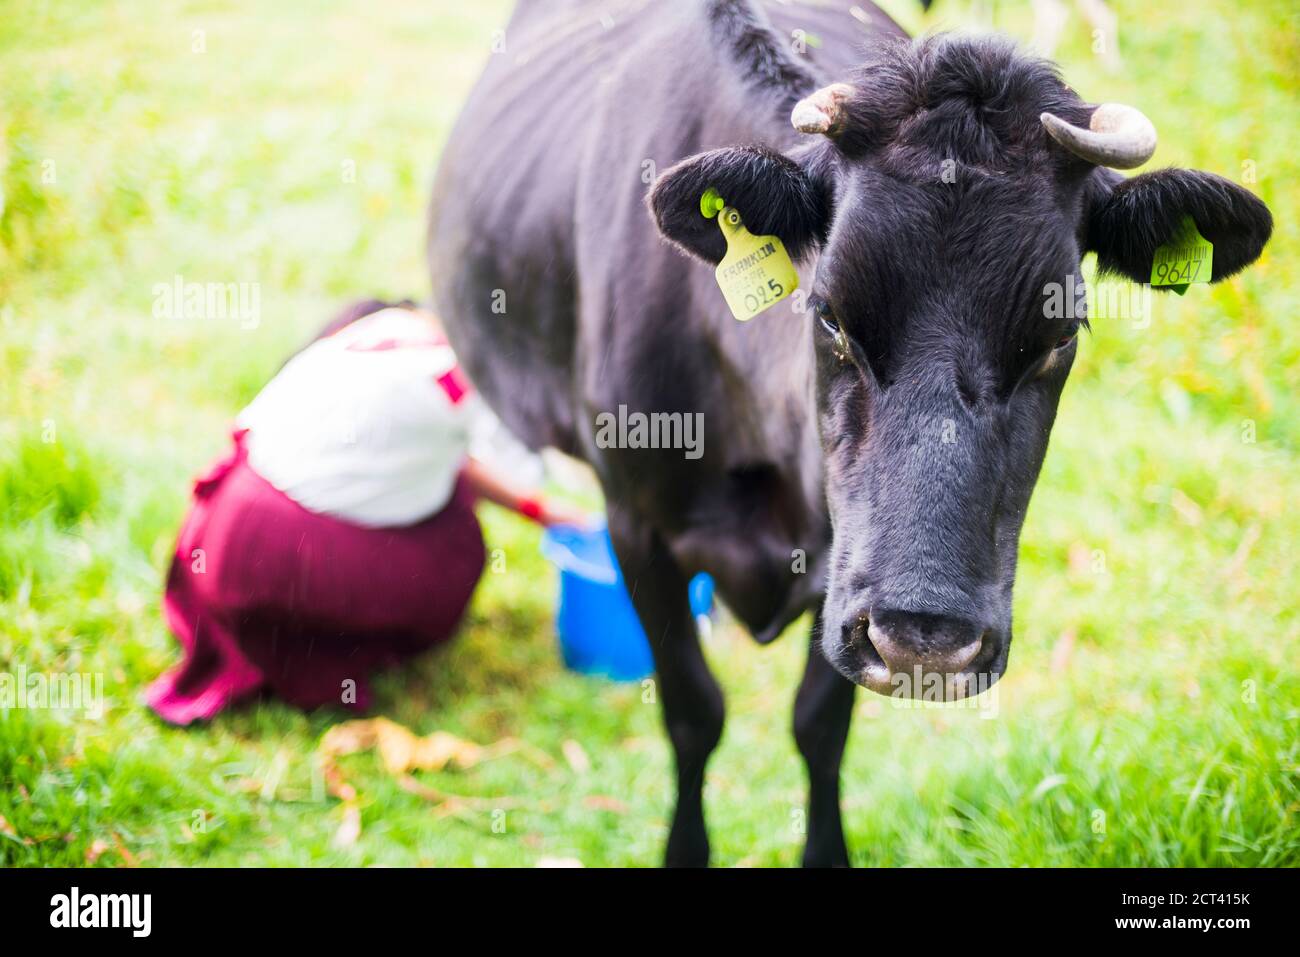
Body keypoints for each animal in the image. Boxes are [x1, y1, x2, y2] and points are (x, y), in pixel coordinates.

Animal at [428, 0, 1268, 868]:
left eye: (1059, 335)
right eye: (827, 312)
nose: (926, 639)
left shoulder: (843, 563)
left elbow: (819, 725)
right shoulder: (638, 527)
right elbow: (694, 712)